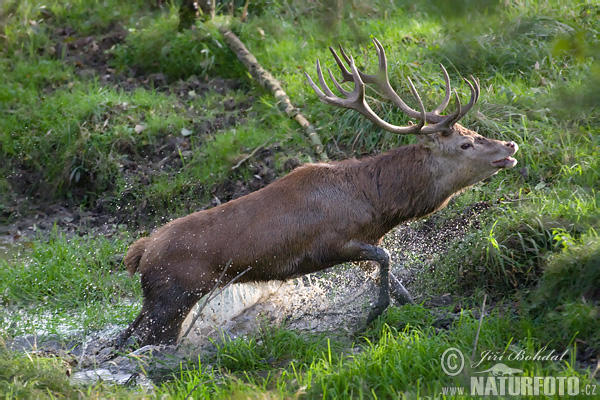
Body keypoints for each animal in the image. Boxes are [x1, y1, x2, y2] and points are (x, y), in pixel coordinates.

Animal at [116, 39, 516, 348]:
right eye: (466, 144)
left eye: (472, 132)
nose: (509, 145)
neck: (376, 204)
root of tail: (140, 252)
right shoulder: (331, 243)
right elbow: (386, 258)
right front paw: (371, 313)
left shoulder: (362, 242)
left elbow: (394, 277)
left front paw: (425, 311)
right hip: (174, 296)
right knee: (147, 341)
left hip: (156, 299)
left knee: (126, 335)